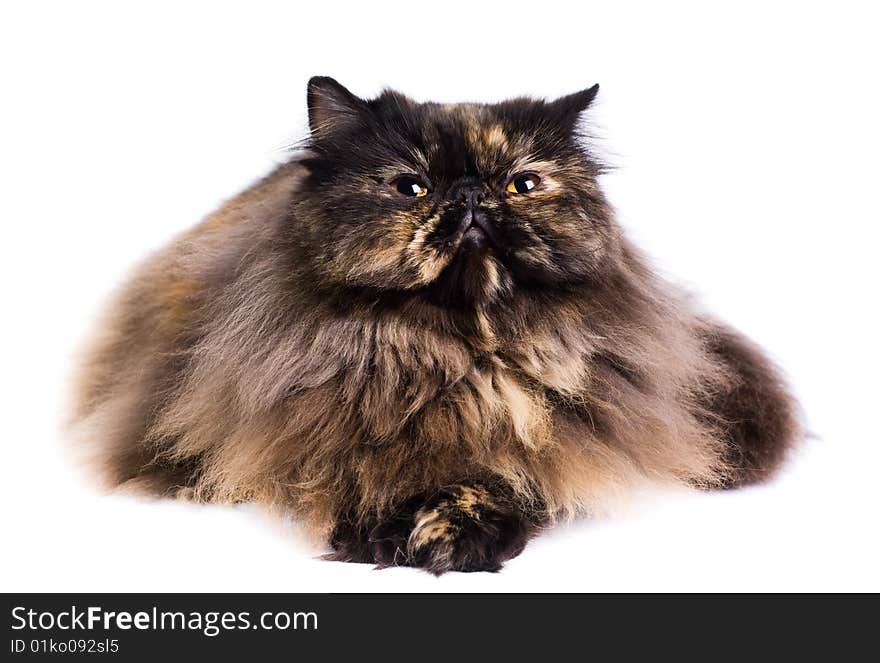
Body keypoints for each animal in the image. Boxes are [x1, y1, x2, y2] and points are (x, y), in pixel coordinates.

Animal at [72, 76, 800, 576]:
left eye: (522, 185)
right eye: (412, 187)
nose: (472, 194)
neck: (457, 353)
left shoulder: (559, 436)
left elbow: (503, 481)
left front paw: (455, 538)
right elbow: (358, 472)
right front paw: (386, 536)